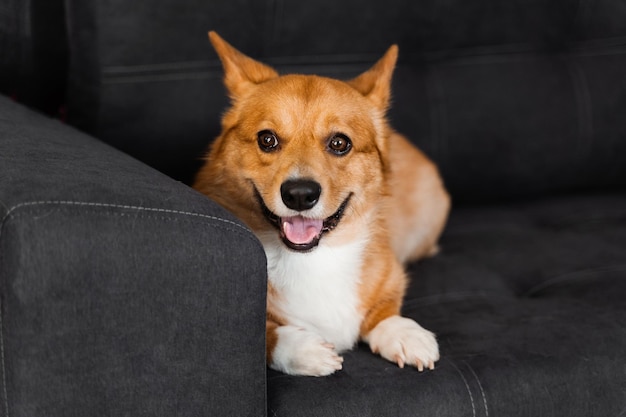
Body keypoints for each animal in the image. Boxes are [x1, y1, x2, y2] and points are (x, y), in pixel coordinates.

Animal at [193, 32, 446, 376]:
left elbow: (385, 310)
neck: (314, 258)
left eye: (340, 143)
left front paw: (405, 333)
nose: (299, 194)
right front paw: (304, 349)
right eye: (267, 139)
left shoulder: (391, 275)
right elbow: (267, 336)